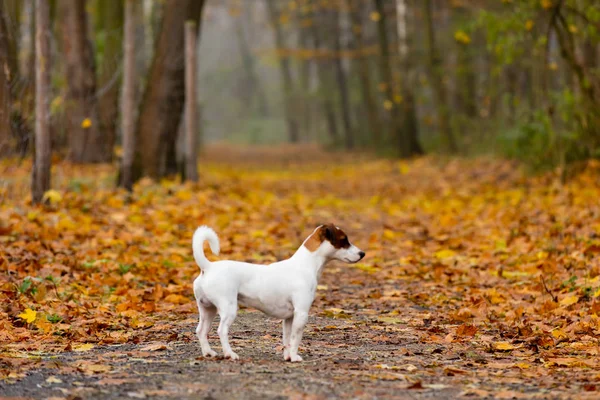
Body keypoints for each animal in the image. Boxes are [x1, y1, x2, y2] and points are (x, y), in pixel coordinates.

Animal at [191, 225, 366, 362]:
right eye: (344, 240)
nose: (362, 254)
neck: (305, 265)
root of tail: (208, 267)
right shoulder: (301, 314)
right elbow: (296, 339)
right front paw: (294, 357)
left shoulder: (289, 318)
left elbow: (287, 339)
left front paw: (288, 357)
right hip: (228, 309)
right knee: (221, 331)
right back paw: (230, 354)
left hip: (208, 310)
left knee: (201, 331)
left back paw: (208, 353)